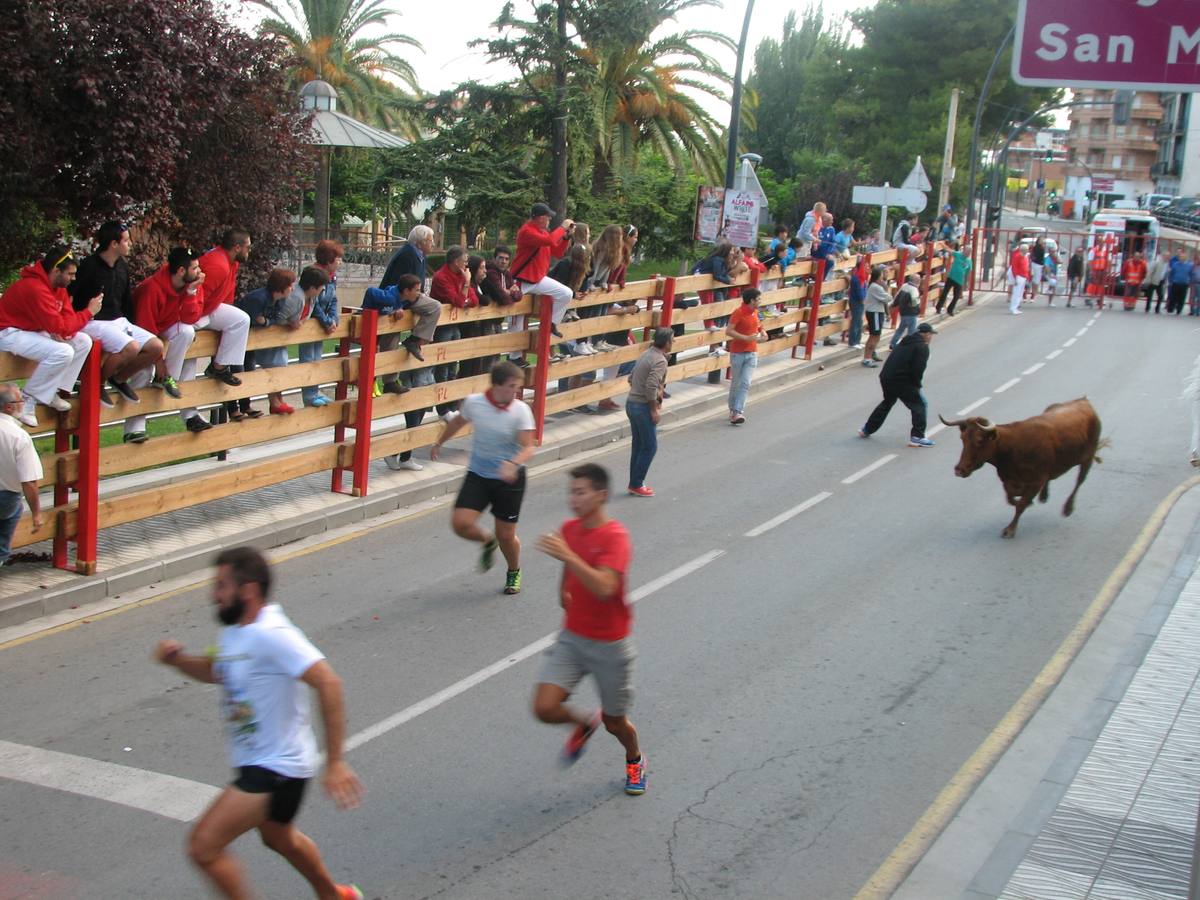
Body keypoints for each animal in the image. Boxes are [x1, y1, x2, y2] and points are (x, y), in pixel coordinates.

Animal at [936, 398, 1104, 540]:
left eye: (979, 440)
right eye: (962, 438)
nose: (959, 469)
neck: (1013, 448)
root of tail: (1083, 401)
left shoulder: (1036, 480)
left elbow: (1020, 505)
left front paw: (1010, 529)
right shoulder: (1007, 480)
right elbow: (1011, 499)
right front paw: (1025, 502)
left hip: (1088, 458)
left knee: (1079, 481)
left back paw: (1068, 508)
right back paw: (1044, 496)